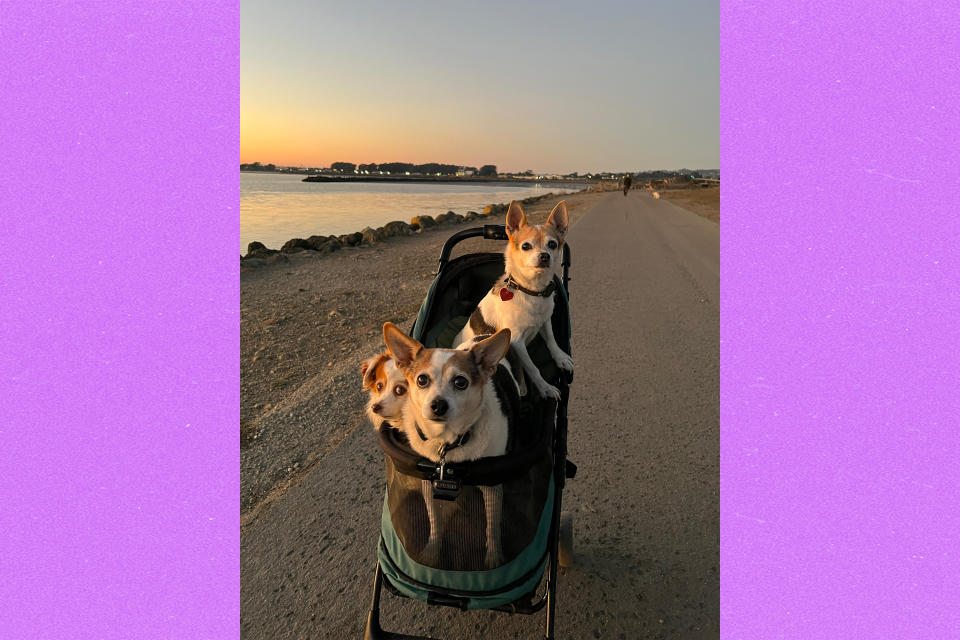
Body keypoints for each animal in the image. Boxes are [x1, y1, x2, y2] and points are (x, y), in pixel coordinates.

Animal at [384, 322, 516, 568]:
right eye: (421, 380)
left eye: (460, 382)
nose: (438, 405)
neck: (448, 443)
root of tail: (484, 335)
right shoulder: (429, 484)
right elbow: (434, 521)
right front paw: (431, 553)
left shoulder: (493, 487)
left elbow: (492, 525)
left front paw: (493, 558)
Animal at [454, 200, 572, 400]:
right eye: (526, 246)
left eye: (553, 244)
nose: (544, 255)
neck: (531, 291)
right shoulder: (517, 342)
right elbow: (533, 368)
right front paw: (545, 388)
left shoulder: (545, 322)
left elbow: (552, 341)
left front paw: (561, 358)